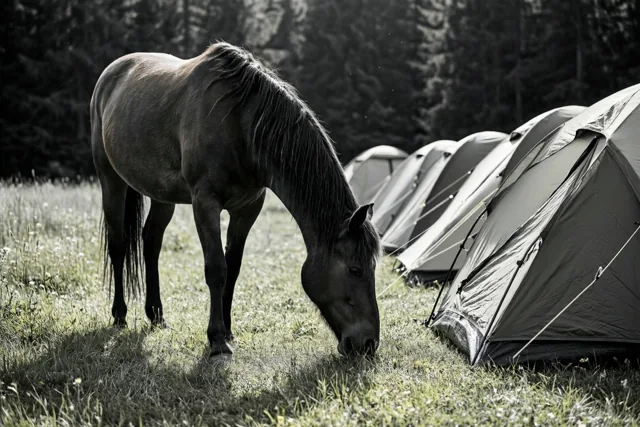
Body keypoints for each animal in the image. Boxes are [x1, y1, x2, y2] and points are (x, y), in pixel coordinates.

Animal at [89, 42, 382, 358]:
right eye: (355, 269)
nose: (369, 343)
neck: (240, 125)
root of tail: (111, 73)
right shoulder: (205, 203)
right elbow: (217, 268)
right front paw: (217, 339)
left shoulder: (247, 208)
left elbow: (234, 267)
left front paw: (228, 330)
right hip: (111, 180)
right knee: (118, 245)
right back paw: (119, 315)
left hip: (162, 195)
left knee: (151, 242)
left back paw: (156, 315)